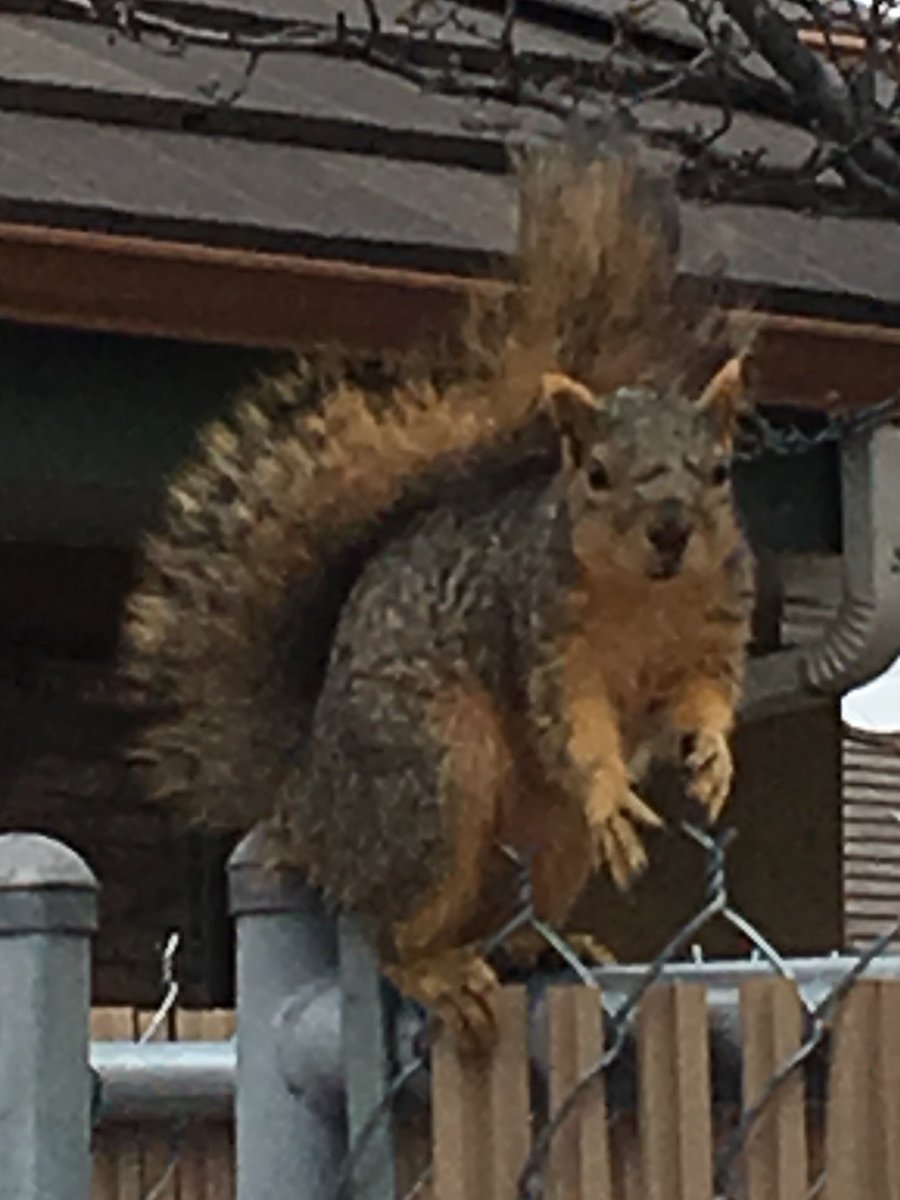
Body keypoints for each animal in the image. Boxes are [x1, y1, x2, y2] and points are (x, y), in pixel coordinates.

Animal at [122, 138, 756, 1053]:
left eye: (720, 471)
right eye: (597, 474)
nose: (670, 530)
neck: (648, 596)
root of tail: (306, 797)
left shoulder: (715, 627)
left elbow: (705, 696)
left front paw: (711, 759)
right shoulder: (541, 634)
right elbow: (574, 728)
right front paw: (612, 795)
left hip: (543, 840)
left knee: (503, 914)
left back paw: (540, 945)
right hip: (431, 772)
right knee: (394, 929)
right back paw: (437, 970)